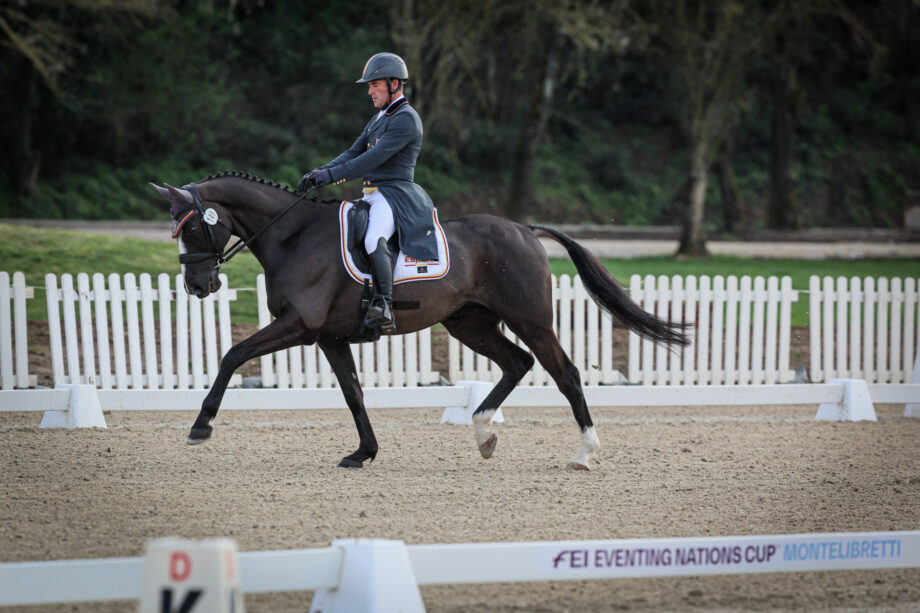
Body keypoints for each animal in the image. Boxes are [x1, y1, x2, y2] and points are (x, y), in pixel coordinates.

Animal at [151, 171, 688, 468]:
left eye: (193, 227)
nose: (199, 286)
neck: (294, 235)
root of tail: (523, 228)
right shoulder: (328, 338)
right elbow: (353, 393)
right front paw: (363, 452)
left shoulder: (299, 327)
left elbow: (233, 353)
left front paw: (201, 425)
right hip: (469, 323)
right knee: (516, 363)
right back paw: (483, 432)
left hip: (531, 321)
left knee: (565, 373)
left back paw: (583, 453)